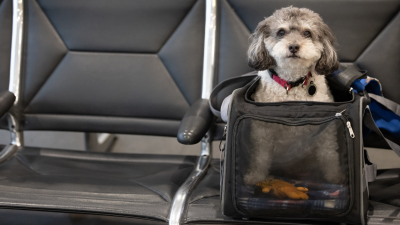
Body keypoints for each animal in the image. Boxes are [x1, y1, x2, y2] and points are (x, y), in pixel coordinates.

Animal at [242, 6, 346, 186]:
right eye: (281, 32)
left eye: (307, 33)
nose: (294, 47)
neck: (291, 84)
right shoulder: (262, 131)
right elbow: (260, 157)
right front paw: (256, 177)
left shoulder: (326, 131)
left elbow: (329, 155)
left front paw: (335, 177)